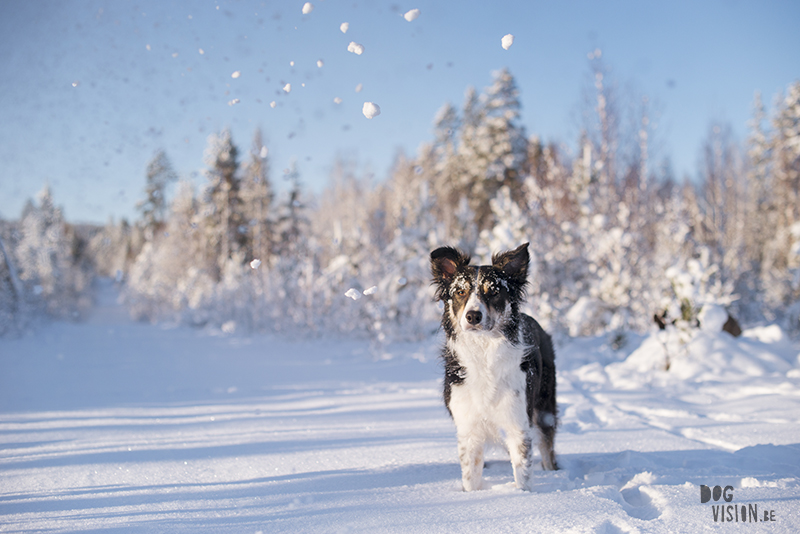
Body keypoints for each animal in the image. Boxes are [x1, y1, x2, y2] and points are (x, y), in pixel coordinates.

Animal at [432, 245, 556, 492]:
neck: (484, 352)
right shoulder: (468, 426)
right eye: (460, 292)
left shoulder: (518, 422)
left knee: (548, 448)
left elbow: (522, 471)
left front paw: (525, 495)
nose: (473, 316)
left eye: (494, 291)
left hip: (544, 410)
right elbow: (470, 475)